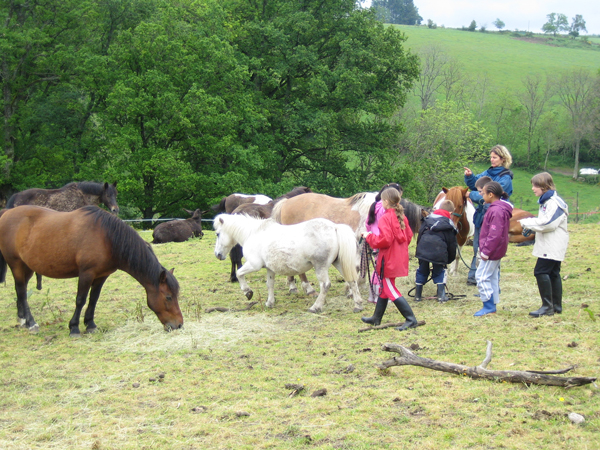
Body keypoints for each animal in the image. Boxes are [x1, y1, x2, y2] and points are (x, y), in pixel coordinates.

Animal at [0, 206, 183, 336]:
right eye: (168, 297)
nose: (179, 324)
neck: (107, 238)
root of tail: (7, 213)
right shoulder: (86, 274)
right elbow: (80, 300)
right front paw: (74, 327)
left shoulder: (101, 276)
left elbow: (93, 299)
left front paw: (90, 325)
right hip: (16, 264)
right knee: (21, 291)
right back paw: (31, 323)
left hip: (28, 267)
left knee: (21, 291)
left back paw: (22, 319)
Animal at [213, 214, 364, 312]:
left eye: (218, 234)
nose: (217, 254)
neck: (254, 234)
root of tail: (334, 227)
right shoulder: (270, 269)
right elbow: (270, 284)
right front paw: (270, 303)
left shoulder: (254, 265)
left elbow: (239, 274)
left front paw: (247, 292)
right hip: (339, 263)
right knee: (352, 280)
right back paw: (358, 305)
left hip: (320, 267)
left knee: (325, 285)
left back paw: (316, 307)